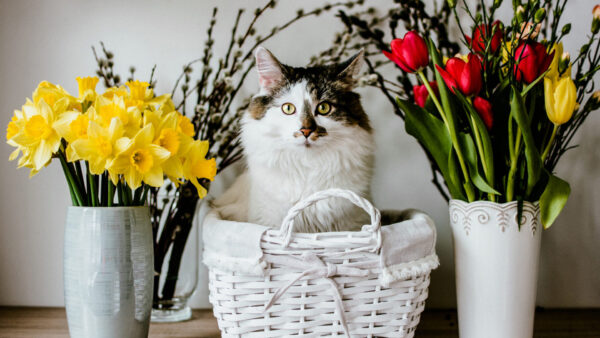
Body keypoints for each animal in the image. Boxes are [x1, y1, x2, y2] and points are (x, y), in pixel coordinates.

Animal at [212, 47, 376, 232]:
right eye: (288, 108)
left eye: (324, 108)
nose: (306, 130)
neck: (308, 165)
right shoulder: (270, 221)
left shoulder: (353, 223)